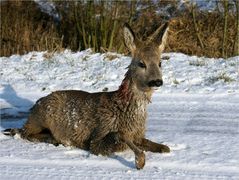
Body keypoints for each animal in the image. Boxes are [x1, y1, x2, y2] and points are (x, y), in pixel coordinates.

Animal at [4, 22, 171, 169]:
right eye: (141, 63)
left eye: (160, 63)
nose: (157, 81)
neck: (123, 109)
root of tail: (35, 107)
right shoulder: (97, 137)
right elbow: (118, 137)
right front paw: (140, 161)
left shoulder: (138, 134)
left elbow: (162, 147)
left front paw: (161, 148)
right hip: (41, 117)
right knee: (24, 133)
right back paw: (54, 139)